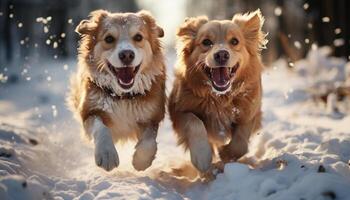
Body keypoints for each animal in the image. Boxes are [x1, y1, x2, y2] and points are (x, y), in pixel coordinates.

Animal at [69, 10, 167, 171]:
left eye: (138, 37)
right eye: (109, 38)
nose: (127, 54)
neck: (123, 96)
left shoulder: (152, 116)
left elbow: (149, 141)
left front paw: (141, 160)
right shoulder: (89, 112)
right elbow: (101, 128)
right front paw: (107, 153)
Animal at [168, 9, 266, 173]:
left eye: (235, 41)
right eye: (206, 42)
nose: (221, 54)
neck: (219, 97)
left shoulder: (250, 112)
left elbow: (241, 141)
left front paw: (226, 153)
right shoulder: (179, 111)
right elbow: (194, 123)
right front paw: (202, 156)